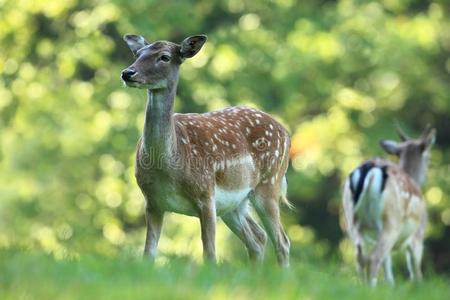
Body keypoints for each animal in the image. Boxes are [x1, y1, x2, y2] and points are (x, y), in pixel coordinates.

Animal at [120, 34, 292, 266]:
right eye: (137, 54)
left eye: (164, 57)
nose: (127, 73)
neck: (169, 165)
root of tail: (286, 132)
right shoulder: (153, 201)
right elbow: (149, 253)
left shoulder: (205, 194)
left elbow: (209, 253)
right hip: (234, 203)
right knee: (257, 238)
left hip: (269, 183)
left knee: (282, 241)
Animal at [342, 125, 434, 284]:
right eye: (428, 157)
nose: (426, 176)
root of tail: (371, 171)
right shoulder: (418, 234)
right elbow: (416, 272)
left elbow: (388, 266)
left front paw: (390, 284)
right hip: (391, 222)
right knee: (374, 258)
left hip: (352, 221)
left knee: (360, 255)